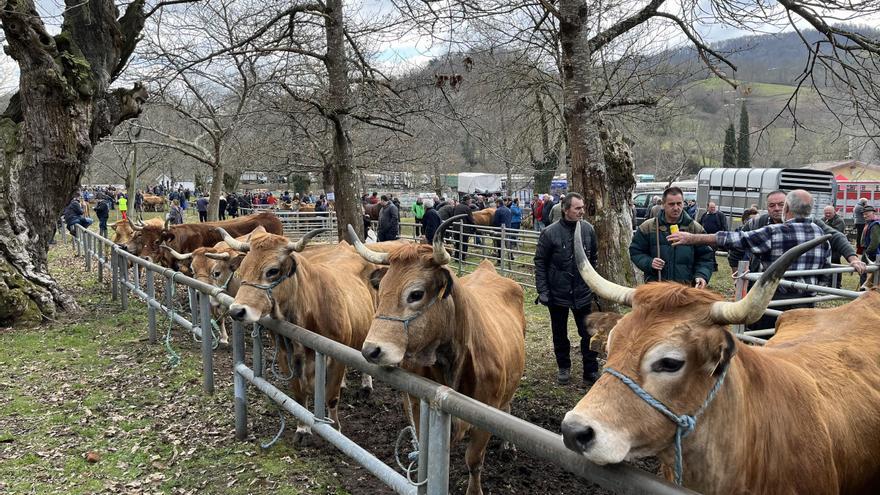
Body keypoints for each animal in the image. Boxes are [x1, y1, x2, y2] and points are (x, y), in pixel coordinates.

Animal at [348, 215, 524, 495]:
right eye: (381, 288)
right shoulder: (418, 405)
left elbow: (474, 460)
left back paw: (508, 445)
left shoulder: (484, 415)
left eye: (416, 294)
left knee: (507, 406)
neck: (454, 364)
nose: (371, 349)